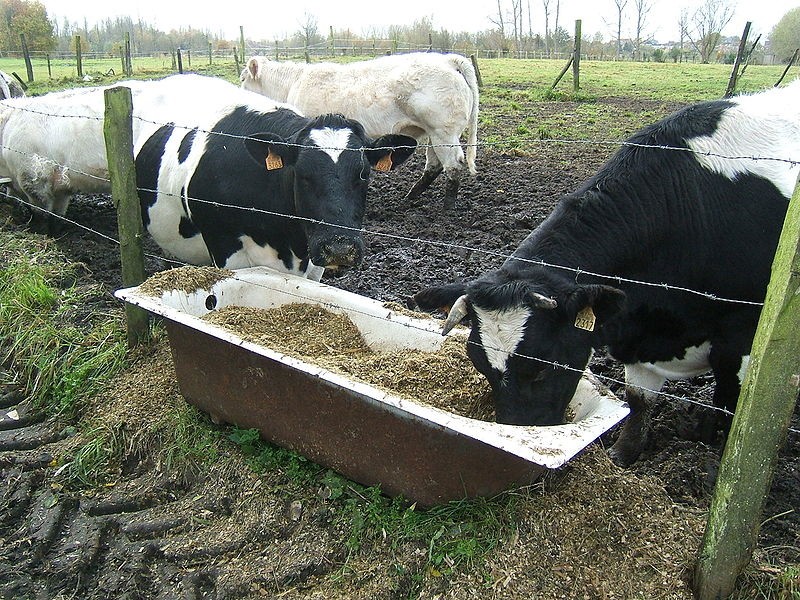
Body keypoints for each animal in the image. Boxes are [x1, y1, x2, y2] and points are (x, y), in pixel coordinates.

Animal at [242, 52, 482, 211]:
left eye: (243, 78)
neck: (292, 85)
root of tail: (448, 59)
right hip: (434, 134)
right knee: (434, 165)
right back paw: (409, 198)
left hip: (443, 132)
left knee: (453, 164)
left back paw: (447, 208)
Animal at [412, 79, 800, 466]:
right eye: (480, 366)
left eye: (543, 366)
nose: (518, 430)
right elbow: (639, 401)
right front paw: (624, 454)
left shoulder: (744, 335)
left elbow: (733, 412)